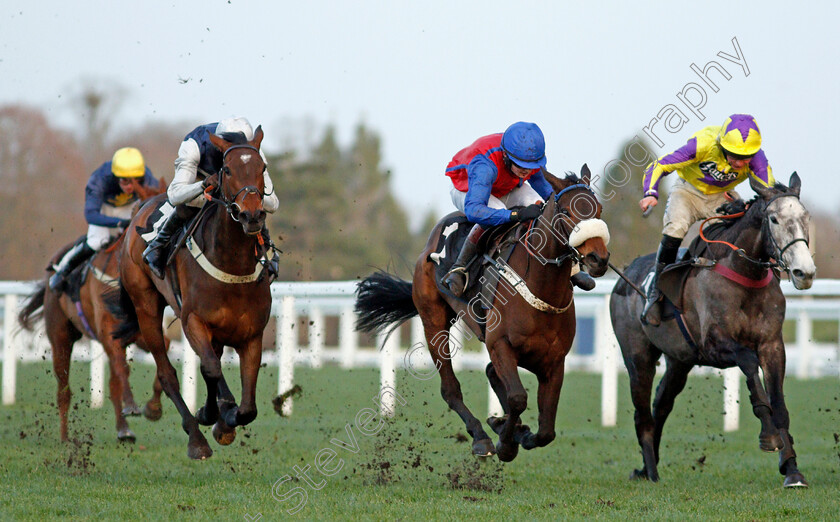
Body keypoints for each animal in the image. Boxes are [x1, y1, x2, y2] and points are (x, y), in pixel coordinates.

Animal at [17, 177, 167, 440]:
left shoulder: (137, 333)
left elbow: (161, 350)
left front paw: (153, 408)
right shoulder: (108, 334)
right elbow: (122, 369)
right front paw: (132, 405)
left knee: (113, 383)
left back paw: (123, 430)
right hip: (60, 337)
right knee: (64, 389)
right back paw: (65, 437)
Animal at [106, 125, 272, 456]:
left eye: (262, 168)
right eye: (228, 170)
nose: (252, 216)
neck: (233, 264)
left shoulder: (251, 334)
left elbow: (248, 406)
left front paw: (223, 419)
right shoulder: (193, 320)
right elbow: (211, 369)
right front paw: (218, 417)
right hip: (146, 306)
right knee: (168, 373)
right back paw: (196, 438)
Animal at [354, 166, 612, 460]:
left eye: (599, 209)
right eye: (567, 211)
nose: (598, 259)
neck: (541, 287)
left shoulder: (553, 361)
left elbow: (546, 430)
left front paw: (515, 432)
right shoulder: (500, 345)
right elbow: (517, 398)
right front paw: (506, 443)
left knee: (490, 373)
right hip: (433, 322)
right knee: (450, 389)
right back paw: (481, 437)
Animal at [608, 173, 816, 486]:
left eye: (805, 217)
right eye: (774, 219)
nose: (805, 272)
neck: (745, 275)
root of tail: (624, 275)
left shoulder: (772, 345)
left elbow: (779, 404)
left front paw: (792, 470)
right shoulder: (714, 345)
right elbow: (748, 362)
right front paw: (768, 435)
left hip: (679, 360)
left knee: (661, 404)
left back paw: (647, 467)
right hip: (637, 356)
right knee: (642, 414)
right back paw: (651, 472)